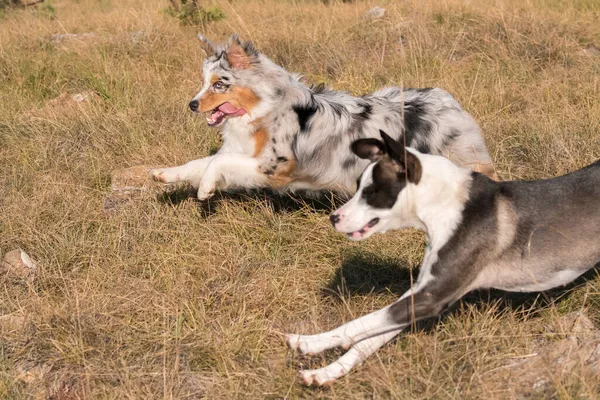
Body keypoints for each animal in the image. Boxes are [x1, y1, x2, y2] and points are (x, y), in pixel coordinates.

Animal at [151, 34, 496, 198]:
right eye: (202, 82)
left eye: (219, 84)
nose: (192, 104)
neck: (263, 110)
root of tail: (447, 99)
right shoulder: (242, 152)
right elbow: (201, 162)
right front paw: (164, 174)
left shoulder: (275, 166)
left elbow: (217, 164)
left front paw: (205, 189)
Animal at [286, 133, 600, 386]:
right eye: (357, 187)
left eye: (371, 192)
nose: (333, 218)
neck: (446, 204)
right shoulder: (422, 292)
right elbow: (369, 338)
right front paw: (325, 373)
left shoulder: (433, 296)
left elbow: (360, 324)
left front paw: (308, 343)